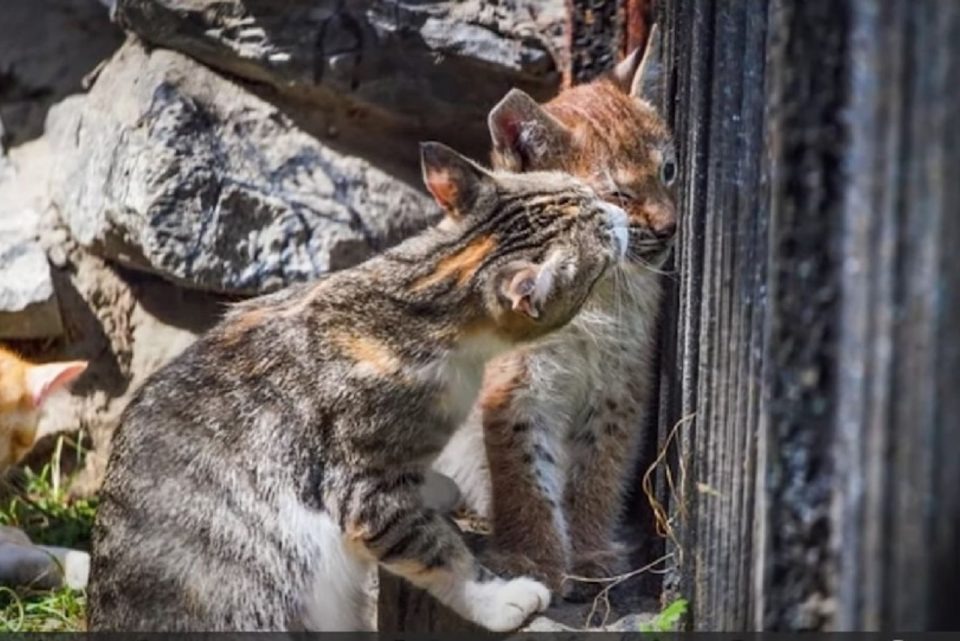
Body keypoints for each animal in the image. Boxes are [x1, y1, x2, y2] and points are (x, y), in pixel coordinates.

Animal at [88, 141, 632, 632]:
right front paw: (499, 600)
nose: (622, 215)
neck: (416, 300)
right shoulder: (364, 489)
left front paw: (432, 485)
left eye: (588, 192)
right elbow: (437, 550)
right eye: (603, 240)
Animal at [434, 25, 676, 596]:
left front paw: (587, 551)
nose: (671, 228)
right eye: (617, 195)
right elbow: (525, 475)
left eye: (669, 171)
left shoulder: (621, 382)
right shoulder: (517, 384)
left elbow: (599, 467)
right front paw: (534, 560)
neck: (595, 292)